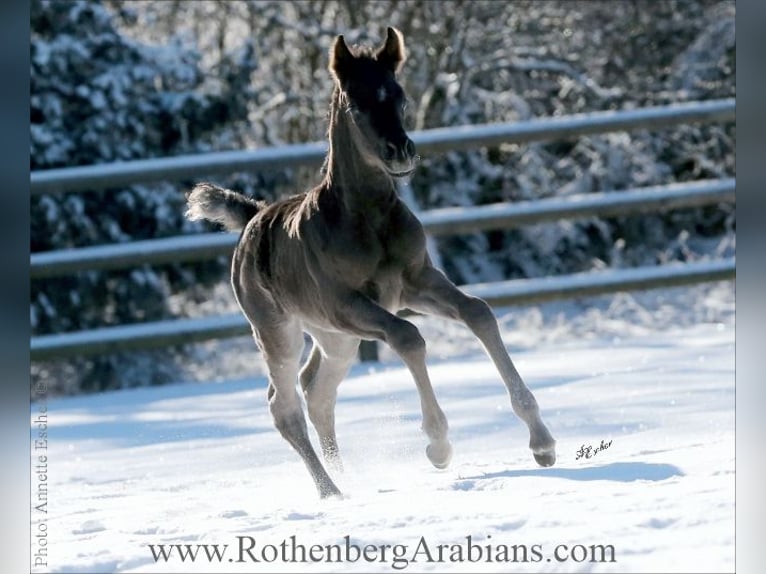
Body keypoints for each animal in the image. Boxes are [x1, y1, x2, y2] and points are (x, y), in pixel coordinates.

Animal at [185, 27, 556, 499]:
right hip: (280, 332)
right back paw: (331, 492)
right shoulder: (347, 304)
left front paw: (541, 441)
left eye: (399, 96)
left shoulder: (416, 283)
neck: (370, 220)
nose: (400, 151)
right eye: (357, 103)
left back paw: (343, 478)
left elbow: (479, 312)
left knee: (317, 391)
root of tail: (252, 218)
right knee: (284, 405)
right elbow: (408, 337)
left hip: (336, 339)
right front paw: (438, 444)